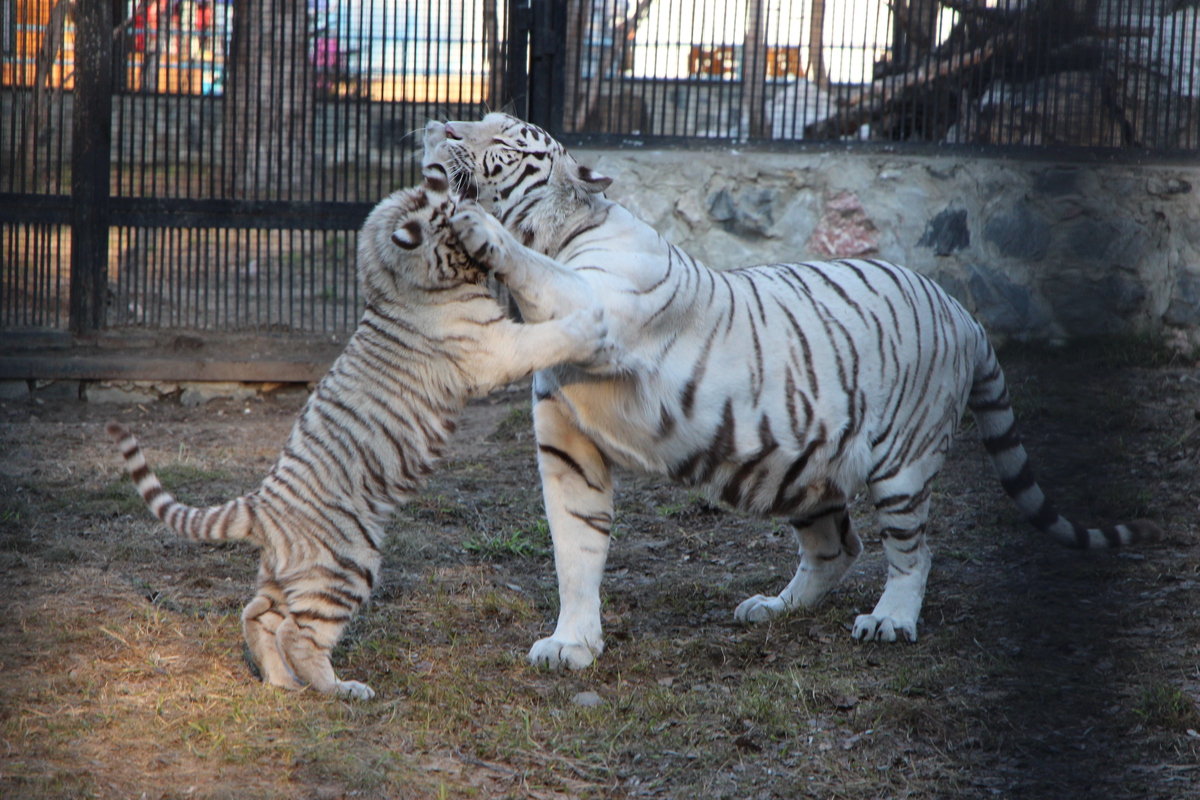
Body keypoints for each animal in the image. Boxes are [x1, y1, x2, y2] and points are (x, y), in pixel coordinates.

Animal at [106, 165, 609, 695]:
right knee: (299, 634)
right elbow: (545, 335)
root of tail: (261, 504)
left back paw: (282, 685)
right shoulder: (494, 346)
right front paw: (590, 322)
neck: (397, 284)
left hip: (288, 575)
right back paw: (342, 690)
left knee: (259, 615)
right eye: (449, 210)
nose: (467, 189)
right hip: (346, 565)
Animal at [422, 112, 1161, 671]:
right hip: (799, 468)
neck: (564, 233)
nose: (438, 123)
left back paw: (890, 622)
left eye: (503, 136)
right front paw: (572, 645)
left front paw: (472, 223)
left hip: (903, 464)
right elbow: (576, 549)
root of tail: (964, 314)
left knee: (912, 552)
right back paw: (774, 609)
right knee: (839, 549)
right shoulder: (569, 442)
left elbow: (535, 268)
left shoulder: (596, 306)